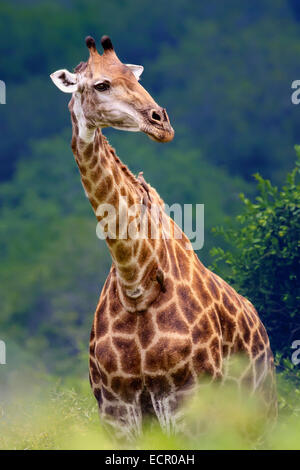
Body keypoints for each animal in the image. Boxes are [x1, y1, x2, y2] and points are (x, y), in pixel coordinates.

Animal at [51, 34, 276, 440]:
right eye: (101, 84)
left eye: (134, 76)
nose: (162, 123)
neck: (136, 282)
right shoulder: (116, 410)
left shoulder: (187, 401)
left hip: (258, 412)